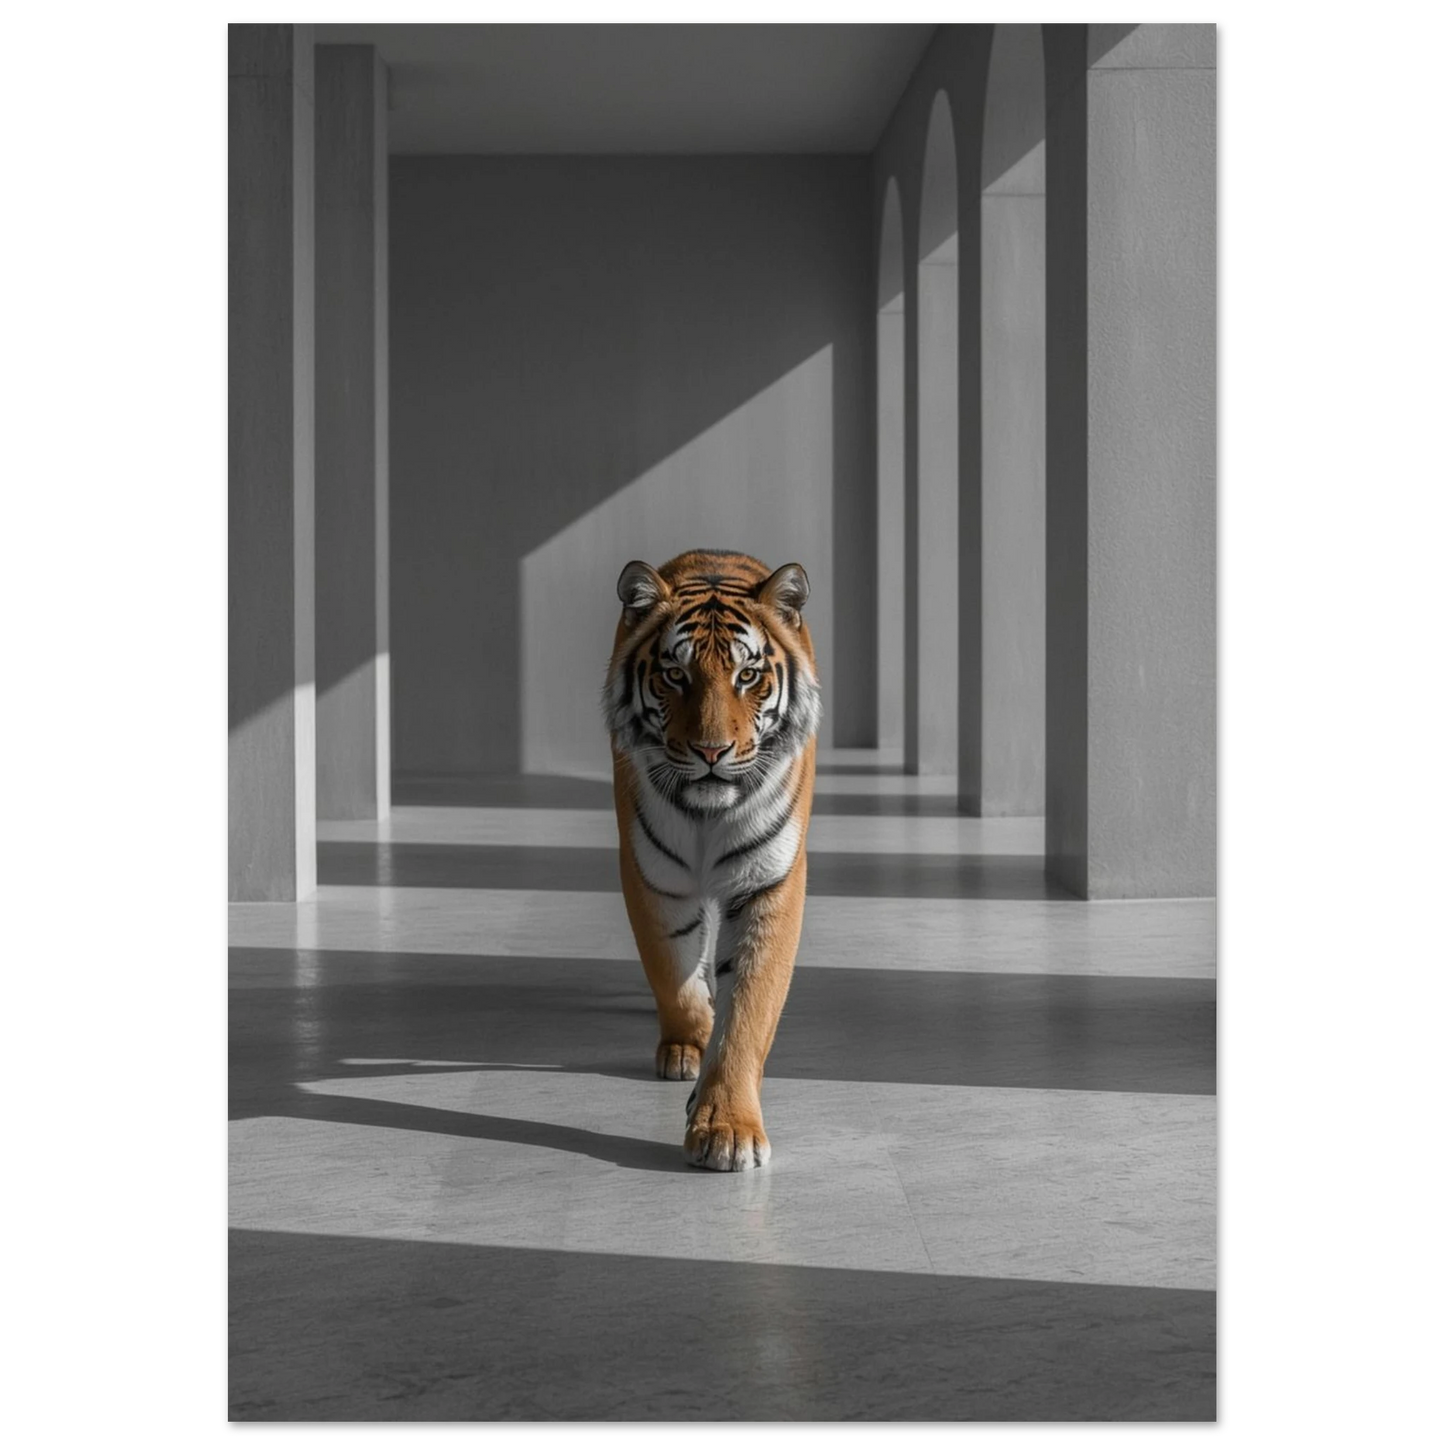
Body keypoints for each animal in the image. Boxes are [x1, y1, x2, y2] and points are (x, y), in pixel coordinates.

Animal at [602, 549, 821, 1172]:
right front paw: (688, 1046)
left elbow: (748, 1006)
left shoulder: (770, 882)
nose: (711, 751)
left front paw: (728, 1127)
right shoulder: (652, 874)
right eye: (676, 675)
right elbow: (671, 970)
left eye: (747, 675)